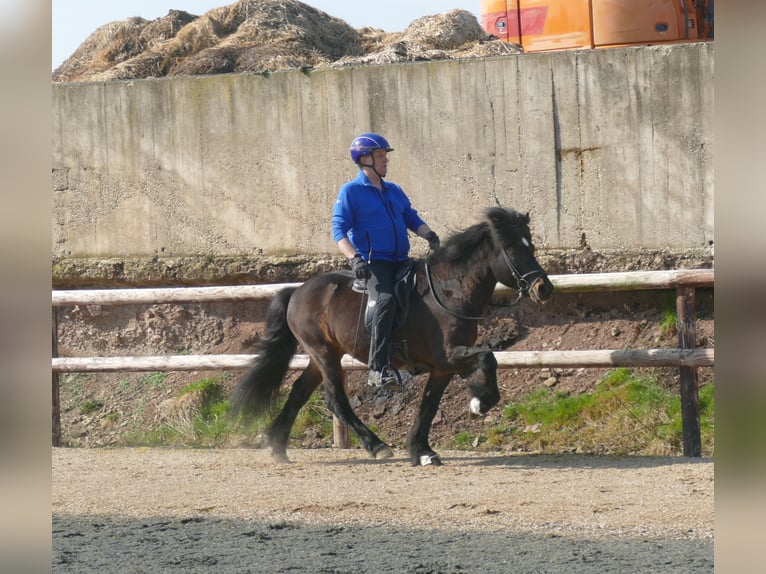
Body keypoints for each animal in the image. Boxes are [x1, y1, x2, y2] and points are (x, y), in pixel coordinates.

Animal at [229, 207, 554, 466]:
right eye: (513, 249)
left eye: (531, 247)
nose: (544, 289)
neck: (449, 291)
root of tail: (297, 291)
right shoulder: (450, 355)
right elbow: (488, 358)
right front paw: (479, 403)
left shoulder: (442, 368)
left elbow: (428, 406)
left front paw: (422, 452)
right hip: (324, 353)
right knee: (336, 400)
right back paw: (376, 446)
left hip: (322, 355)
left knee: (299, 392)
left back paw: (278, 447)